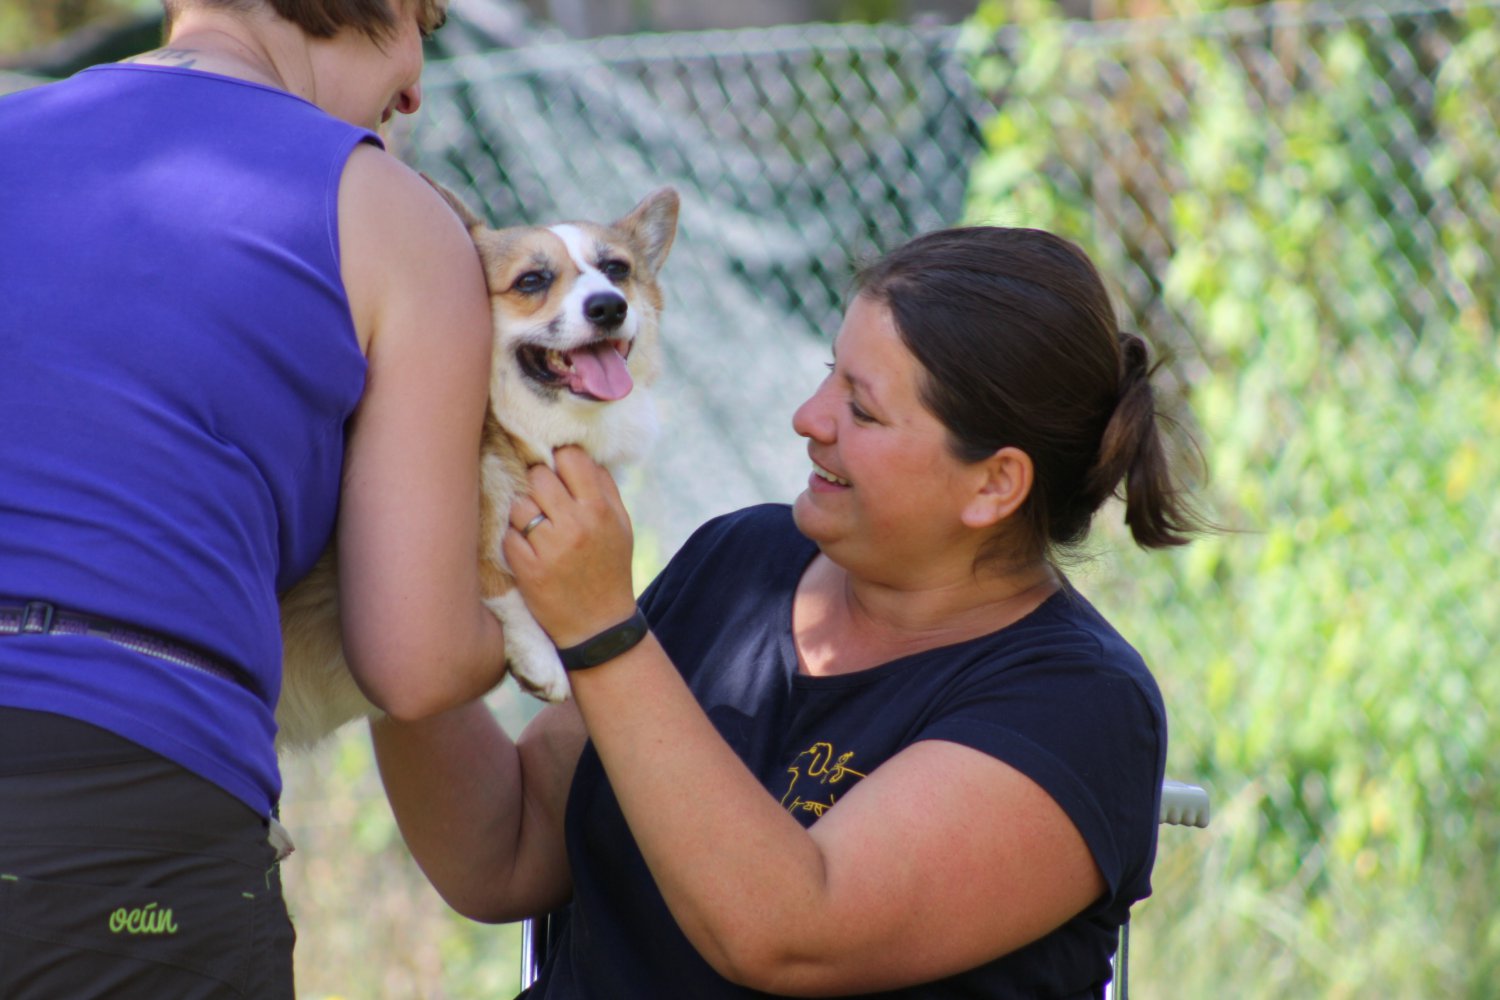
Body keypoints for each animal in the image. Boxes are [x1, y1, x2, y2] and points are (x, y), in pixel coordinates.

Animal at [274, 183, 679, 753]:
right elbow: (495, 577)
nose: (608, 307)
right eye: (531, 281)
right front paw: (538, 656)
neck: (516, 432)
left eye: (616, 269)